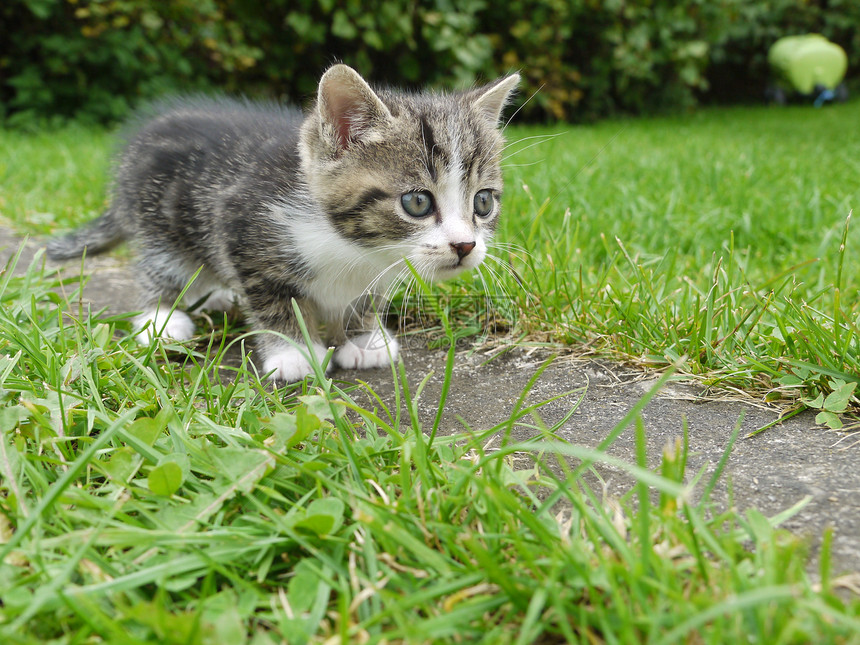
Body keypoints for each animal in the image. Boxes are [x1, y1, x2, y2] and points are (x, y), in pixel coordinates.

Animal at [47, 64, 516, 382]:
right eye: (417, 202)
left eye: (482, 202)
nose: (465, 246)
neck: (352, 248)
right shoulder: (241, 227)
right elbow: (274, 299)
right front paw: (293, 352)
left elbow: (364, 300)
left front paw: (363, 339)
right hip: (159, 220)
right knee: (158, 266)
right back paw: (162, 318)